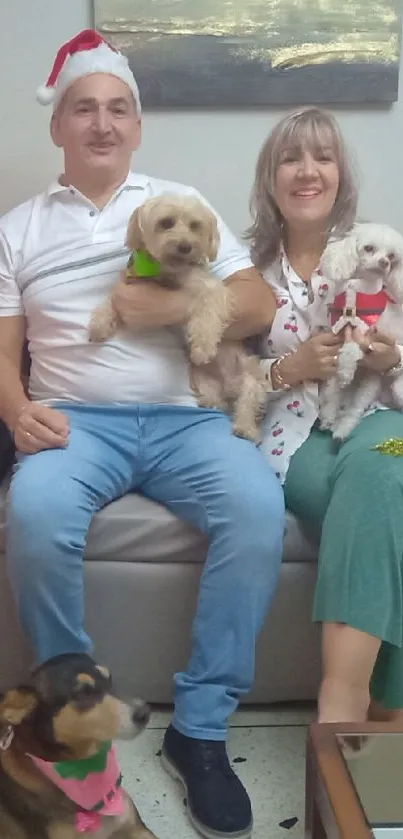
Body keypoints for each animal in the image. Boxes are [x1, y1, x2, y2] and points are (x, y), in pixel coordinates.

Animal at [89, 194, 266, 442]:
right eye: (166, 222)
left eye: (194, 225)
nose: (185, 246)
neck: (165, 271)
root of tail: (229, 387)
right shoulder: (128, 283)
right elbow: (110, 301)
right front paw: (99, 324)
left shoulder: (211, 290)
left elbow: (206, 314)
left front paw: (202, 347)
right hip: (201, 379)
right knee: (215, 397)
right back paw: (213, 403)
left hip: (252, 377)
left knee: (247, 403)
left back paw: (245, 427)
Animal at [320, 223, 403, 440]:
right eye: (369, 248)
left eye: (391, 256)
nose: (384, 262)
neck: (357, 292)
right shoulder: (338, 334)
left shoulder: (367, 336)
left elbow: (351, 349)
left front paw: (347, 368)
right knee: (334, 393)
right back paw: (329, 417)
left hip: (375, 382)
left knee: (355, 409)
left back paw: (342, 430)